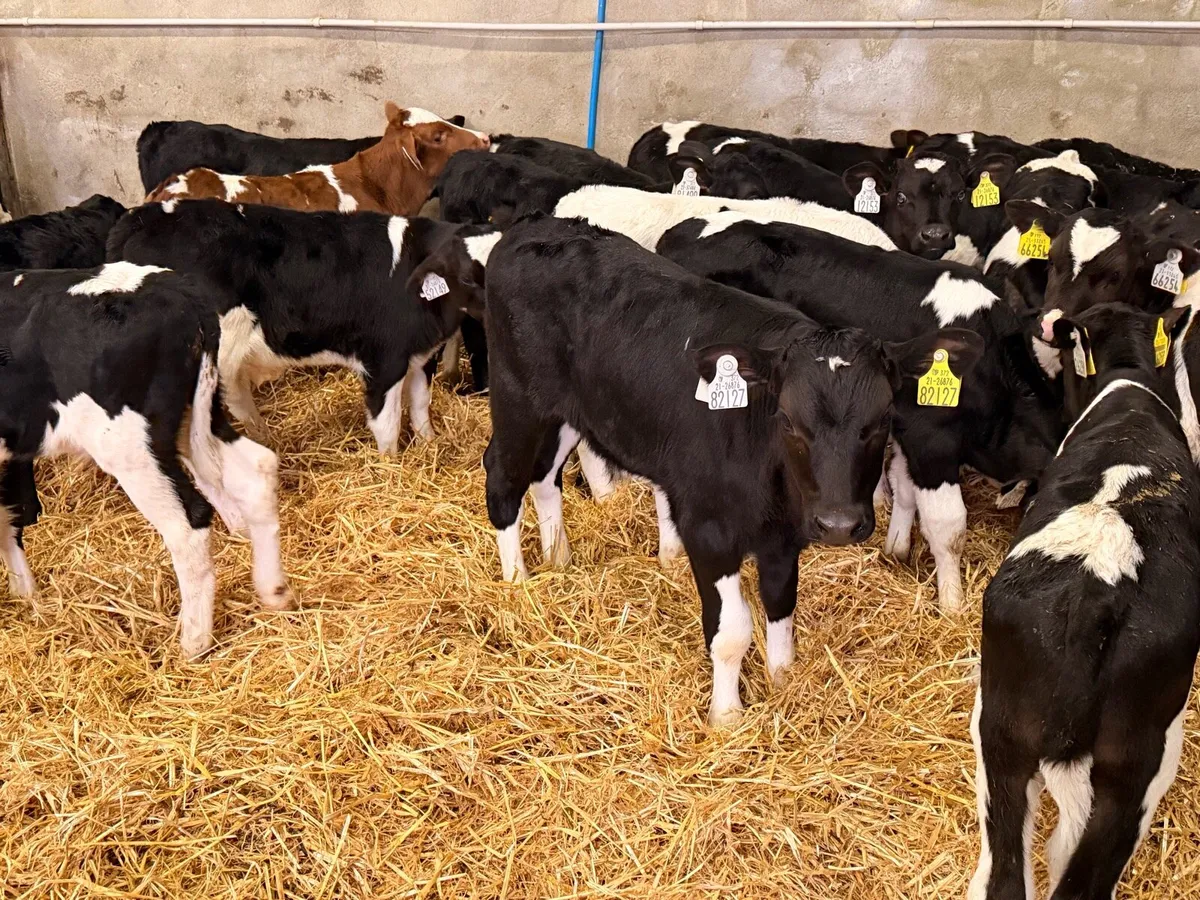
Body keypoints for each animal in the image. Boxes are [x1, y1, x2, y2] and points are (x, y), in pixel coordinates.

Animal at [0, 262, 295, 658]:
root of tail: (174, 289)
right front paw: (27, 597)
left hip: (129, 449)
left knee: (188, 524)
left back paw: (193, 641)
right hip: (197, 416)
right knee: (255, 470)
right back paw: (274, 591)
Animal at [107, 199, 498, 453]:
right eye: (467, 276)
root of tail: (140, 217)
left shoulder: (419, 354)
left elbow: (419, 406)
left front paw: (430, 445)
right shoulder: (384, 360)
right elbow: (387, 425)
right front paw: (392, 468)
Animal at [483, 214, 981, 724]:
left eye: (882, 418)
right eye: (788, 420)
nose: (839, 524)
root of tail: (539, 225)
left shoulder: (784, 538)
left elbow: (781, 607)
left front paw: (783, 682)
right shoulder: (709, 532)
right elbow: (732, 632)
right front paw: (726, 716)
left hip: (564, 413)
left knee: (544, 477)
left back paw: (558, 557)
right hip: (517, 397)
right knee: (503, 477)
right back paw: (517, 580)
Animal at [656, 214, 1064, 613]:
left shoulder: (901, 424)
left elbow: (902, 485)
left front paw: (897, 545)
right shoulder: (932, 439)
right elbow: (948, 525)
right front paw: (952, 602)